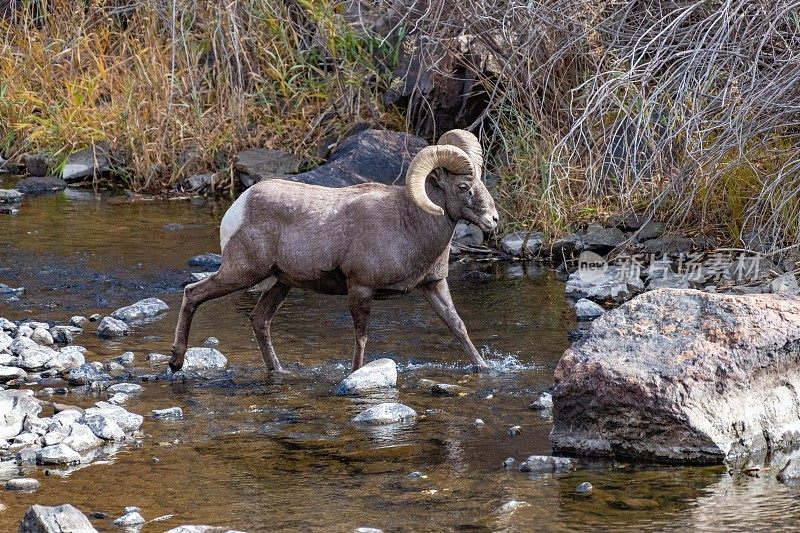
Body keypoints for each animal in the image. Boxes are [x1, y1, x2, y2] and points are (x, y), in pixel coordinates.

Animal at [170, 128, 500, 374]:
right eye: (463, 187)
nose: (493, 220)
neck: (408, 223)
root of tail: (239, 206)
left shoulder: (433, 286)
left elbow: (458, 326)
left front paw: (483, 368)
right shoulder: (361, 289)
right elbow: (361, 338)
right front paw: (355, 373)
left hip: (280, 283)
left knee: (259, 320)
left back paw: (279, 371)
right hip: (242, 273)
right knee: (193, 294)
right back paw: (175, 362)